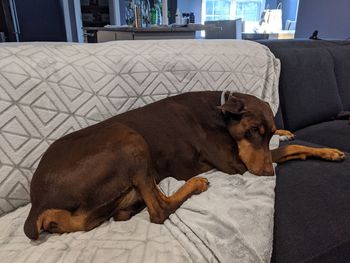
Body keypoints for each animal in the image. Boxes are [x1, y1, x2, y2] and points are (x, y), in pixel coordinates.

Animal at [23, 92, 344, 240]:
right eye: (252, 130)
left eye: (266, 131)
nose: (267, 174)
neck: (221, 114)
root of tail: (38, 202)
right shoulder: (236, 164)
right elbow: (288, 150)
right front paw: (322, 151)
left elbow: (285, 143)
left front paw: (291, 135)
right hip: (127, 138)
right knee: (158, 210)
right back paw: (195, 184)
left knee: (132, 208)